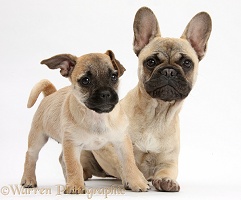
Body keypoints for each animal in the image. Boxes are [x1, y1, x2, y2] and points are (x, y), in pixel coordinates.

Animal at [20, 50, 150, 194]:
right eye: (85, 80)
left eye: (114, 76)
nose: (106, 93)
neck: (97, 116)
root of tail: (50, 94)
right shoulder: (72, 145)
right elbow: (74, 165)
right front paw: (75, 185)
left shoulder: (122, 143)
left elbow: (129, 163)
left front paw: (136, 181)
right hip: (38, 138)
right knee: (31, 156)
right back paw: (29, 179)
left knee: (61, 159)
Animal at [82, 7, 212, 192]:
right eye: (151, 62)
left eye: (187, 63)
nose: (169, 71)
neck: (156, 114)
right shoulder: (113, 146)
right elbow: (124, 162)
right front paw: (133, 179)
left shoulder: (169, 160)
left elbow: (167, 170)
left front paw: (166, 180)